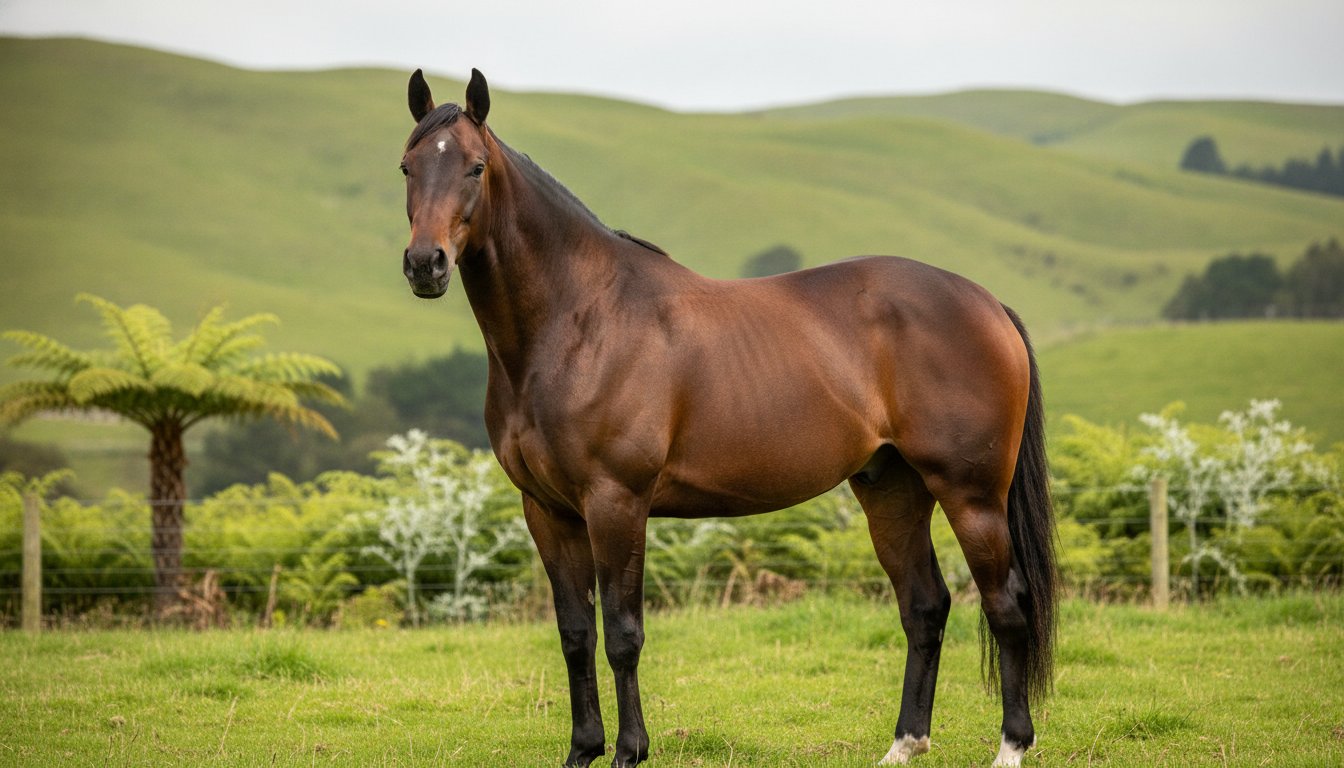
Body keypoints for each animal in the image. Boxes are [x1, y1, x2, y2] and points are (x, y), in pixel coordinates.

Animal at [397, 68, 1057, 768]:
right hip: (892, 489)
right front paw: (583, 750)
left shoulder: (616, 502)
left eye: (475, 167)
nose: (425, 264)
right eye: (407, 166)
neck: (578, 321)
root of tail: (987, 302)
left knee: (1006, 604)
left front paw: (630, 750)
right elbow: (575, 633)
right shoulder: (548, 511)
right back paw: (904, 744)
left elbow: (623, 633)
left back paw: (1012, 746)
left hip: (970, 494)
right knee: (925, 607)